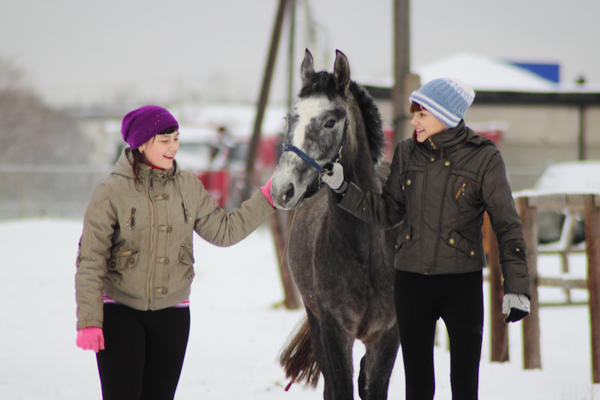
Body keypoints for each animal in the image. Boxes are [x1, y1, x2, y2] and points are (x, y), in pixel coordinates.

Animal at [270, 50, 398, 400]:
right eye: (289, 118)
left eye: (330, 121)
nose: (282, 188)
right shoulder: (333, 329)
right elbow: (339, 387)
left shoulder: (388, 334)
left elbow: (372, 387)